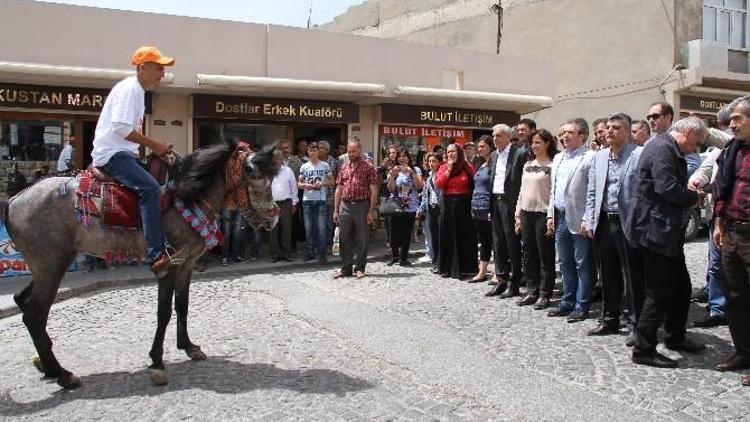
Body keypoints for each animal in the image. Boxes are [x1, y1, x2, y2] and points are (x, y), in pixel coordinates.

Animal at [2, 141, 280, 390]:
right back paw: (63, 374)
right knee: (35, 314)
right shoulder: (168, 266)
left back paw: (46, 366)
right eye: (253, 174)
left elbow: (182, 306)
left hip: (47, 265)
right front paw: (157, 362)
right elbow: (164, 312)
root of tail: (15, 199)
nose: (273, 216)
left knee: (22, 301)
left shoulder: (186, 264)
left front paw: (189, 347)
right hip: (52, 264)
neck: (188, 200)